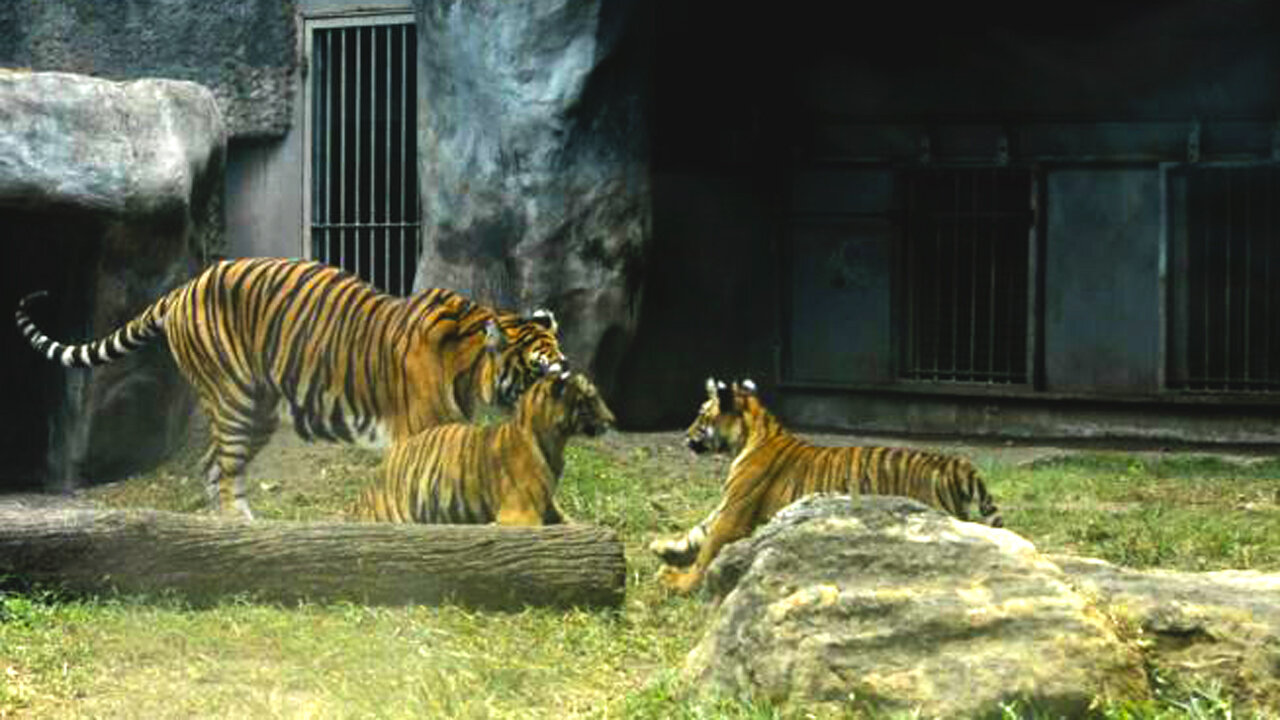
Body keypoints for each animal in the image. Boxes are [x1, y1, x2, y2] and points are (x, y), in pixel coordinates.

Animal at [13, 256, 565, 515]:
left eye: (562, 366)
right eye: (538, 370)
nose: (562, 400)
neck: (471, 368)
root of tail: (185, 286)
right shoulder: (415, 434)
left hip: (257, 410)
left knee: (212, 467)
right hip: (234, 398)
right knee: (222, 469)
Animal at [650, 379, 998, 591]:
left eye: (701, 416)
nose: (683, 435)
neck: (750, 435)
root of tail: (954, 464)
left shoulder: (735, 512)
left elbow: (708, 548)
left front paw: (681, 582)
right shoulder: (726, 507)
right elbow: (698, 530)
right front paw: (663, 546)